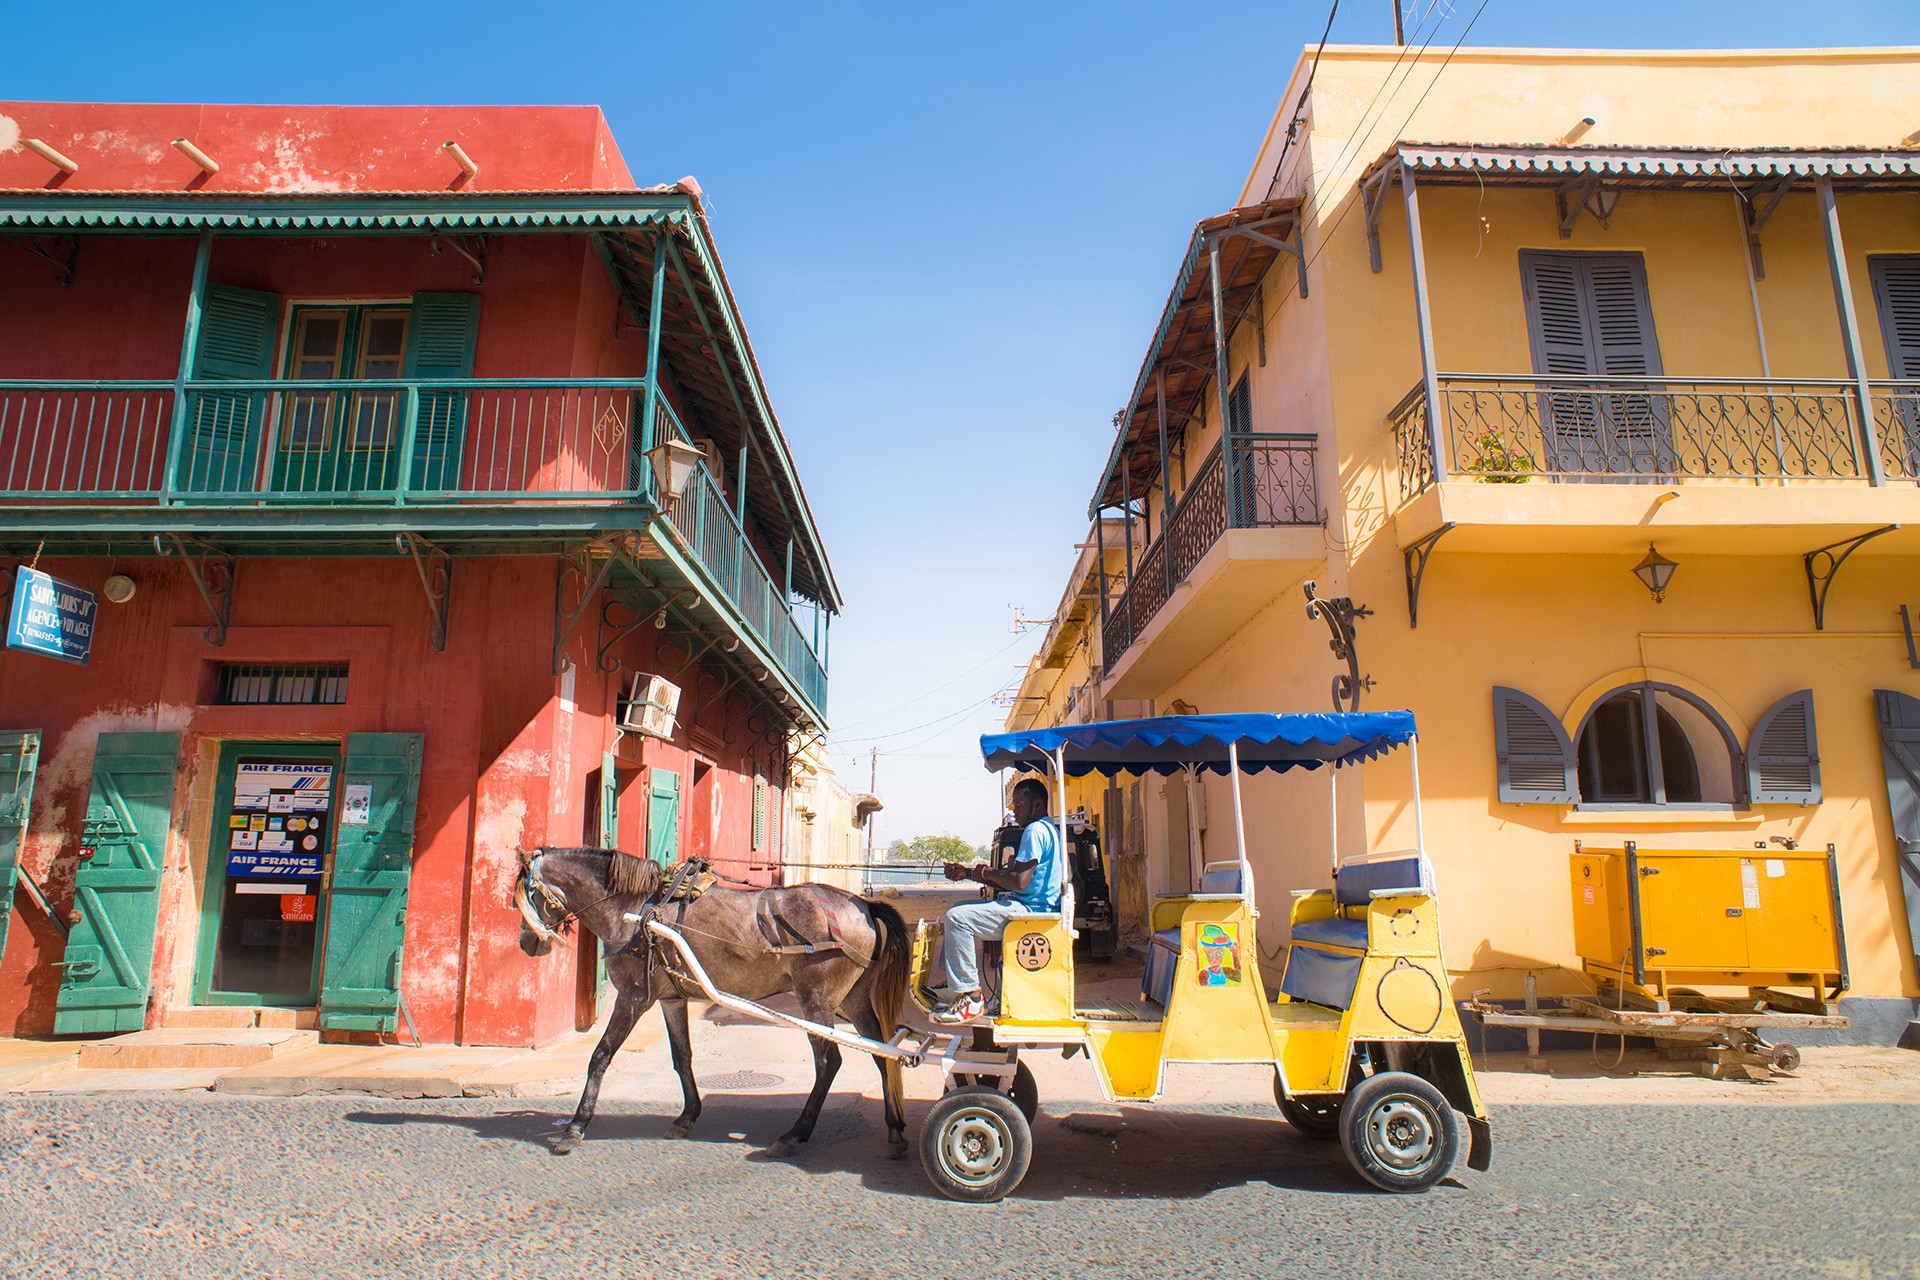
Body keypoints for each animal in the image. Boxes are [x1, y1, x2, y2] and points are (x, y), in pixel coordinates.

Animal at [514, 852, 910, 1159]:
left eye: (524, 895)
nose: (526, 943)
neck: (635, 909)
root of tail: (863, 906)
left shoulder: (633, 997)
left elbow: (600, 1056)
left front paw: (576, 1127)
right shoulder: (671, 998)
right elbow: (682, 1056)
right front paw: (687, 1115)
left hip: (818, 1002)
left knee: (829, 1064)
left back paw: (794, 1135)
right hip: (854, 1001)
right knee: (882, 1055)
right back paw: (894, 1130)